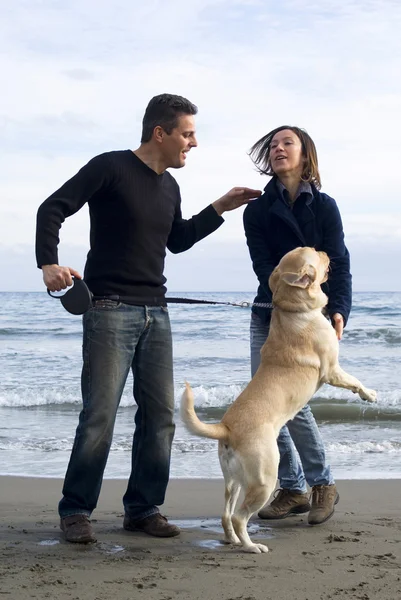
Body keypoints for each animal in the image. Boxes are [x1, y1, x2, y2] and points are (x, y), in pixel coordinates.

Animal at [180, 247, 376, 552]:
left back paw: (233, 540)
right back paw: (251, 547)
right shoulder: (332, 370)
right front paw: (369, 394)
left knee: (226, 514)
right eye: (314, 255)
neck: (293, 309)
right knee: (238, 516)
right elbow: (354, 380)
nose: (324, 250)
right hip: (264, 479)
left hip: (234, 481)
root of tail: (226, 428)